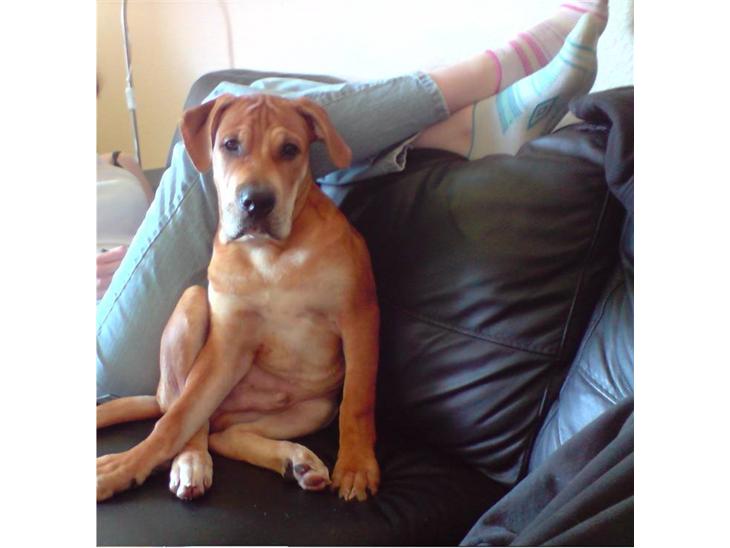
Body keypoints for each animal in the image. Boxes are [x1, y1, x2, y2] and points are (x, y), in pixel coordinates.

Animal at [97, 93, 381, 503]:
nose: (256, 202)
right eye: (230, 145)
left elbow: (358, 400)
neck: (270, 254)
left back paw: (296, 460)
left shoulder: (359, 314)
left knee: (226, 434)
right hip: (193, 306)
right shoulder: (225, 344)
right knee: (186, 419)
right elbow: (174, 423)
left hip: (313, 408)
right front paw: (121, 468)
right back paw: (191, 462)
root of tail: (156, 394)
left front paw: (357, 465)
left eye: (290, 149)